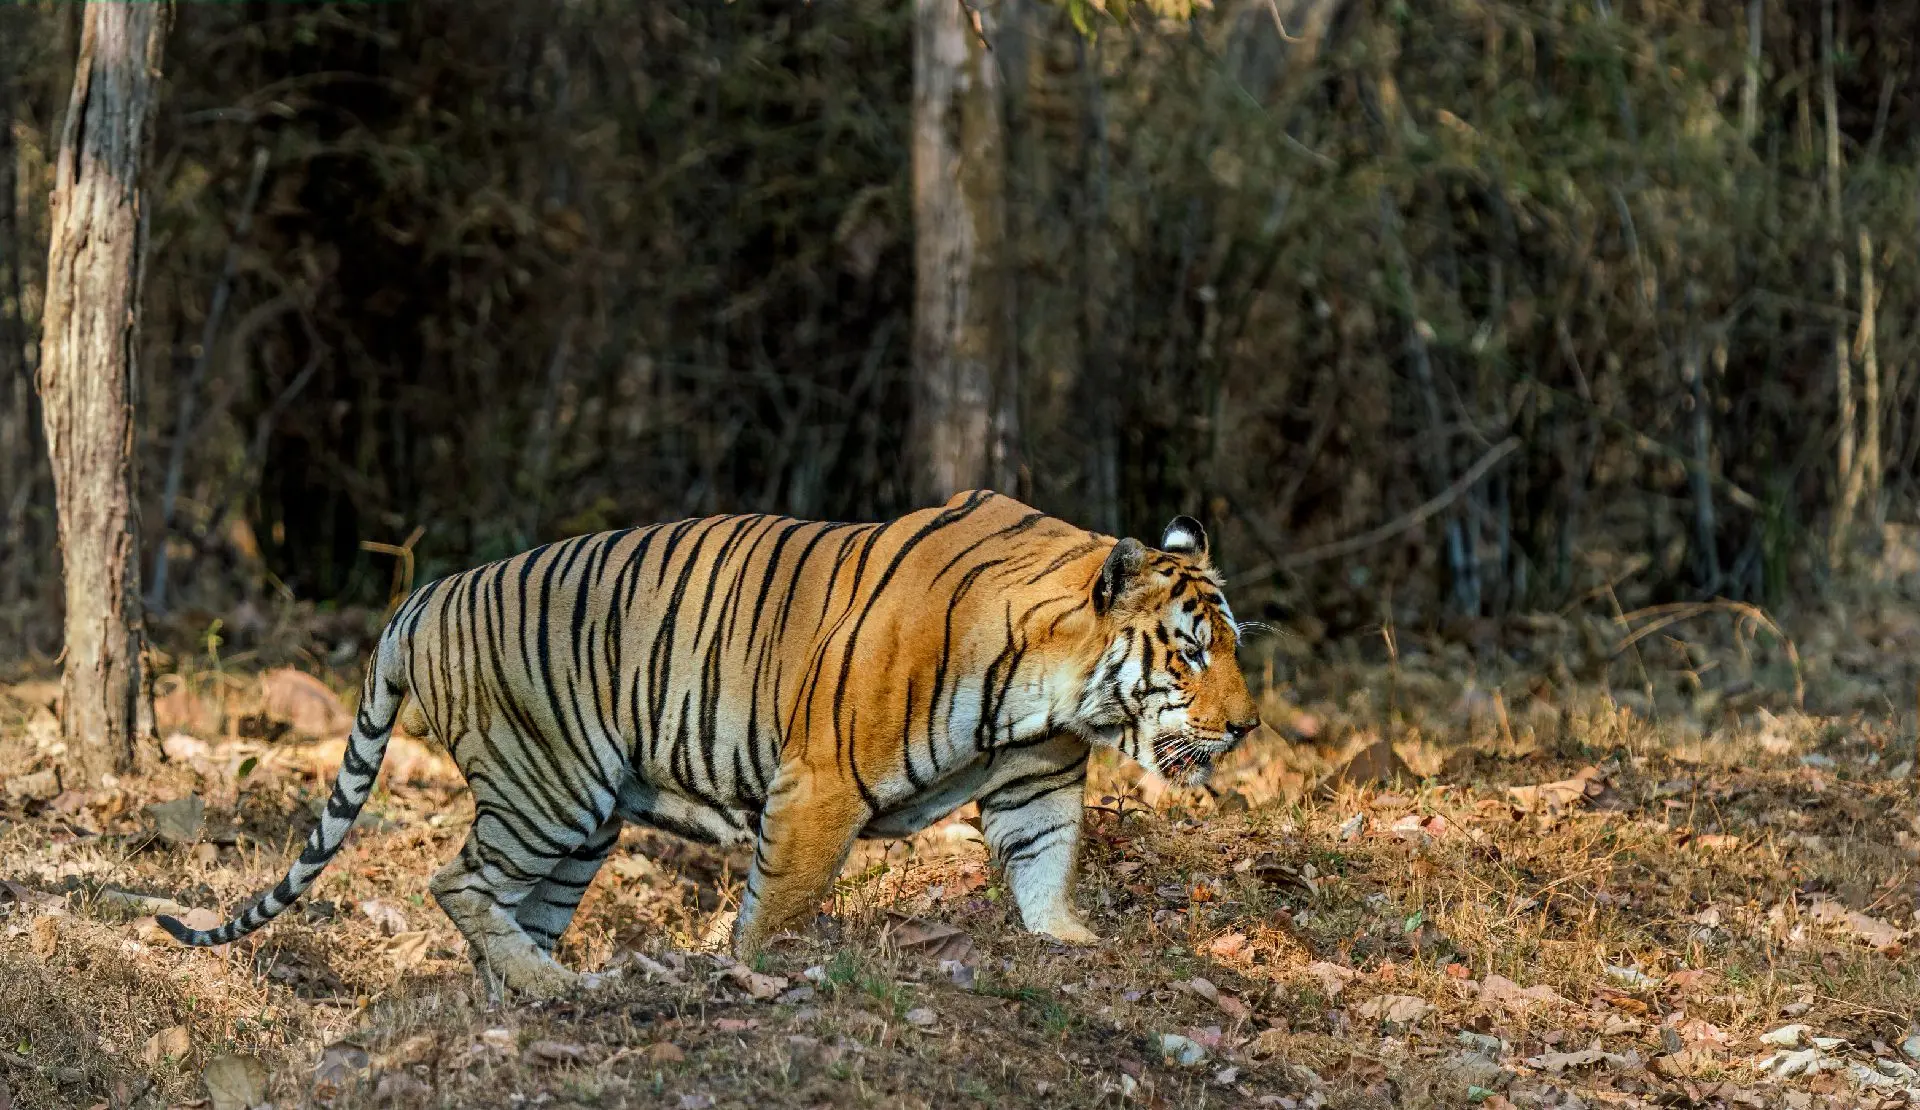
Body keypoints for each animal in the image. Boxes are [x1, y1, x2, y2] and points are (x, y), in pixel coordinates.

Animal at [161, 489, 1259, 990]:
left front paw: (1068, 943)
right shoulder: (818, 786)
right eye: (1193, 653)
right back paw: (548, 985)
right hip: (545, 787)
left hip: (581, 824)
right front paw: (753, 970)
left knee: (511, 906)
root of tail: (426, 593)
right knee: (455, 880)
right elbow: (777, 905)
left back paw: (530, 986)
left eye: (1232, 648)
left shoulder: (1035, 784)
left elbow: (1043, 866)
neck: (1055, 689)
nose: (1246, 727)